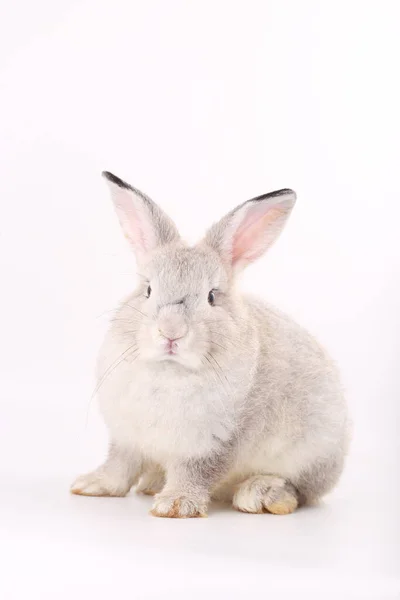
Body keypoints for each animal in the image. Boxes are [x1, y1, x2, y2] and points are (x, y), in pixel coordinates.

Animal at [72, 171, 350, 516]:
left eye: (211, 297)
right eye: (147, 290)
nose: (171, 332)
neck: (170, 371)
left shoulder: (212, 445)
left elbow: (195, 473)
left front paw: (176, 504)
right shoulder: (127, 439)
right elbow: (119, 466)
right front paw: (91, 485)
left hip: (312, 455)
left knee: (301, 491)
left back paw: (261, 494)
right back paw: (152, 484)